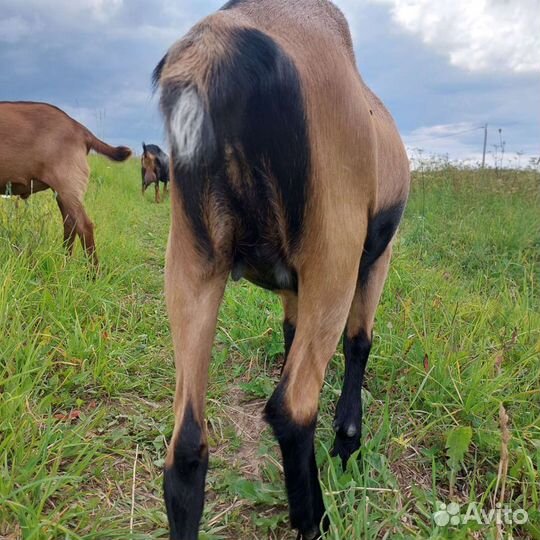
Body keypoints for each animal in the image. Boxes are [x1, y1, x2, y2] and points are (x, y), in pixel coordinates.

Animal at [0, 101, 132, 266]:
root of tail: (80, 129)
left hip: (67, 185)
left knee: (84, 226)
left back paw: (92, 271)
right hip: (62, 191)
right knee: (70, 223)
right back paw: (65, 262)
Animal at [152, 2, 410, 536]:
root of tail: (216, 56)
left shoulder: (292, 284)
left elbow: (289, 334)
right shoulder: (373, 255)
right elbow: (360, 342)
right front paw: (347, 442)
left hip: (191, 259)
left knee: (185, 446)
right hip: (334, 255)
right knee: (292, 407)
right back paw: (315, 519)